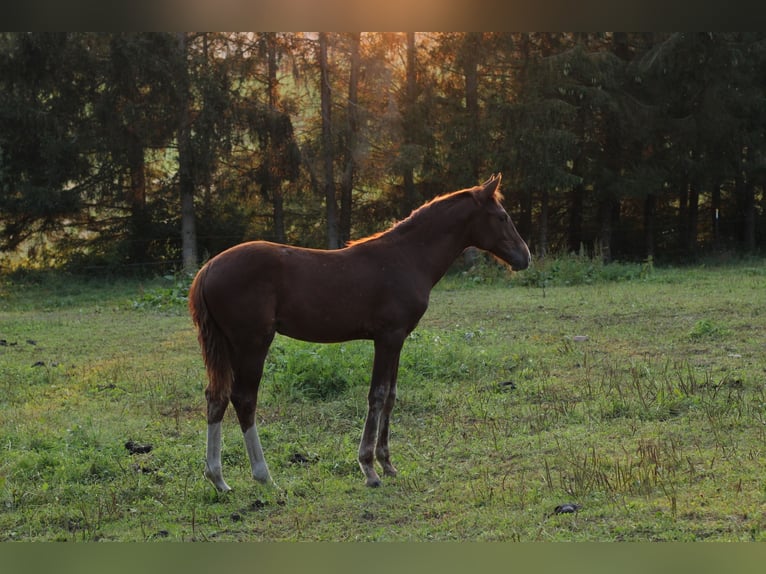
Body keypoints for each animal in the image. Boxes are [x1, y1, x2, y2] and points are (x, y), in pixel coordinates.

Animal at [189, 174, 532, 490]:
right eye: (503, 217)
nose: (524, 257)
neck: (407, 257)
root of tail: (207, 269)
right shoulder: (388, 337)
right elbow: (377, 395)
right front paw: (369, 467)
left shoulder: (398, 339)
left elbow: (391, 395)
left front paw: (388, 463)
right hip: (253, 343)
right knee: (244, 399)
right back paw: (264, 476)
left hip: (227, 345)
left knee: (216, 397)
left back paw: (217, 478)